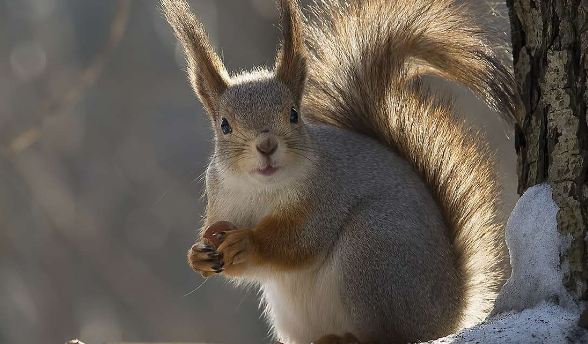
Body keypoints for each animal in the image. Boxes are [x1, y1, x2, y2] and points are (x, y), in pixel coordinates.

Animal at [161, 0, 520, 342]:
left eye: (294, 114)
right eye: (224, 125)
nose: (266, 145)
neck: (262, 190)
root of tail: (450, 313)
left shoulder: (326, 195)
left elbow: (299, 242)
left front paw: (249, 242)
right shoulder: (222, 204)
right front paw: (197, 256)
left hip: (373, 251)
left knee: (392, 334)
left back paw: (349, 338)